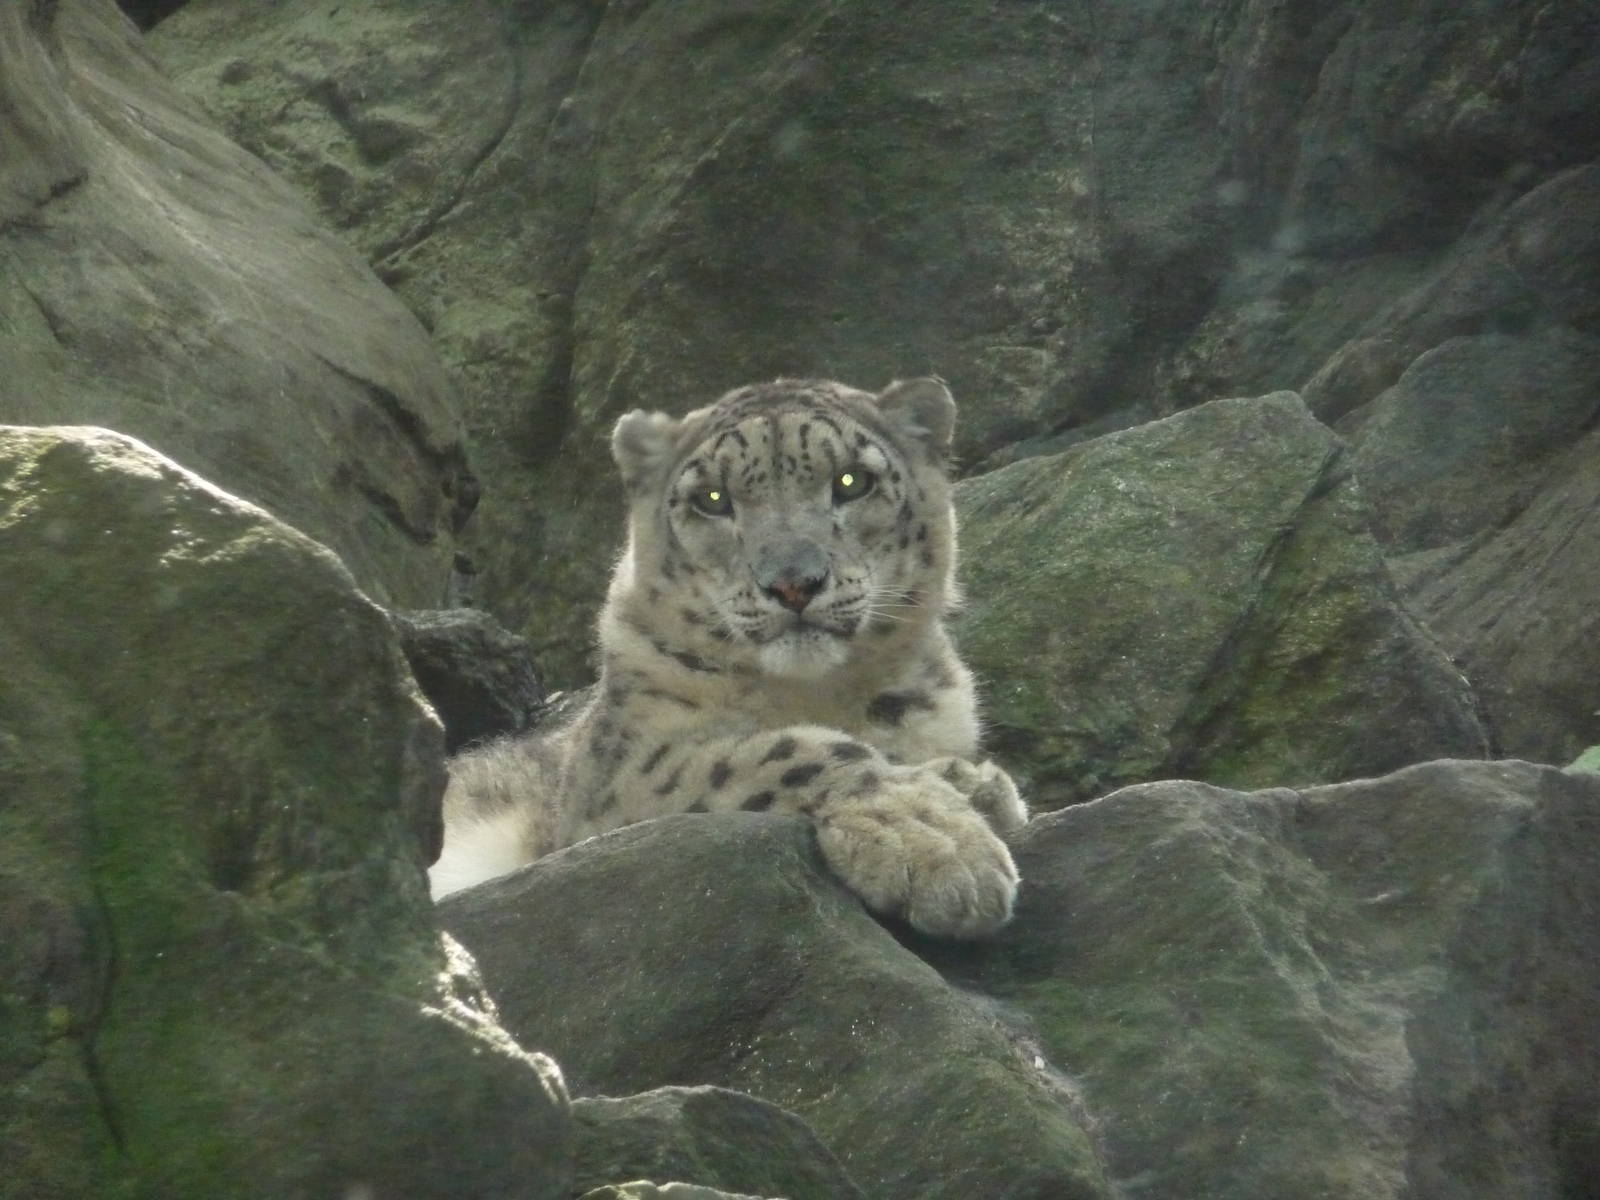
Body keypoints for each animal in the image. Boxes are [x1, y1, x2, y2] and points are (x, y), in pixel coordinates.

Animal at [428, 376, 1027, 938]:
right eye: (712, 499)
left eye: (852, 481)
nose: (792, 583)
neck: (816, 694)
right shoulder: (617, 782)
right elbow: (787, 752)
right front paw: (936, 840)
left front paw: (974, 785)